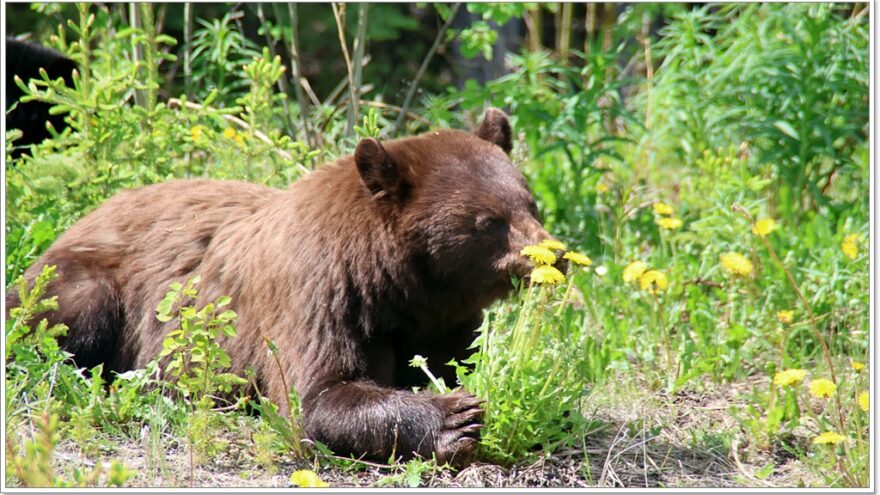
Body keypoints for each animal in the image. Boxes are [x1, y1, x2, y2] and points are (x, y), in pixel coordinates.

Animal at [6, 107, 552, 464]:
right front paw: (456, 418)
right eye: (488, 221)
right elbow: (316, 394)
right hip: (88, 284)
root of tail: (85, 216)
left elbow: (450, 359)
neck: (401, 286)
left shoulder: (446, 321)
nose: (553, 254)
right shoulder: (318, 292)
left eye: (530, 204)